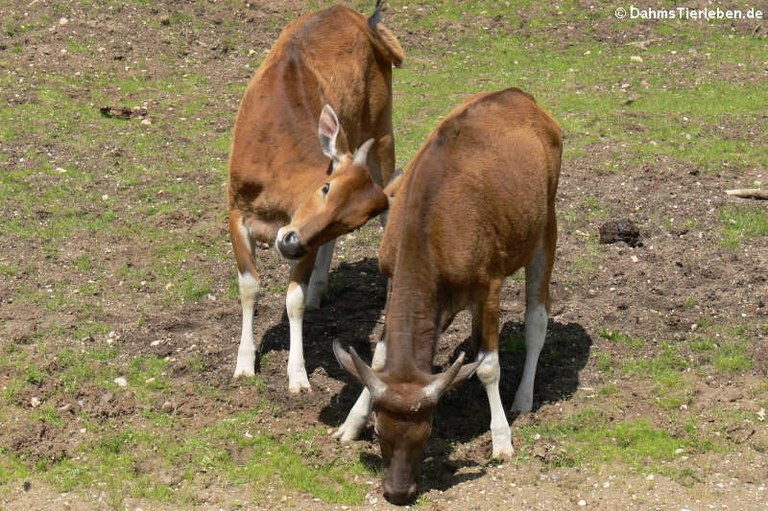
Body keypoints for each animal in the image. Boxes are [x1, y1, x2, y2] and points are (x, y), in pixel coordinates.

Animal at [228, 2, 404, 392]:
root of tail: (367, 22)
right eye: (325, 188)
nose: (290, 244)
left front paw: (298, 376)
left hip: (383, 131)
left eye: (352, 222)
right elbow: (249, 286)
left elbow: (292, 298)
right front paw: (244, 364)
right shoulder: (235, 209)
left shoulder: (303, 233)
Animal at [332, 88, 560, 504]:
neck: (432, 230)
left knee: (537, 318)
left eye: (427, 432)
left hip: (545, 227)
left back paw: (523, 399)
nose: (397, 492)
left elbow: (489, 365)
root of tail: (522, 97)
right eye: (379, 430)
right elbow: (380, 357)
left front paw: (501, 440)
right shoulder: (393, 278)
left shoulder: (489, 286)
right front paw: (350, 424)